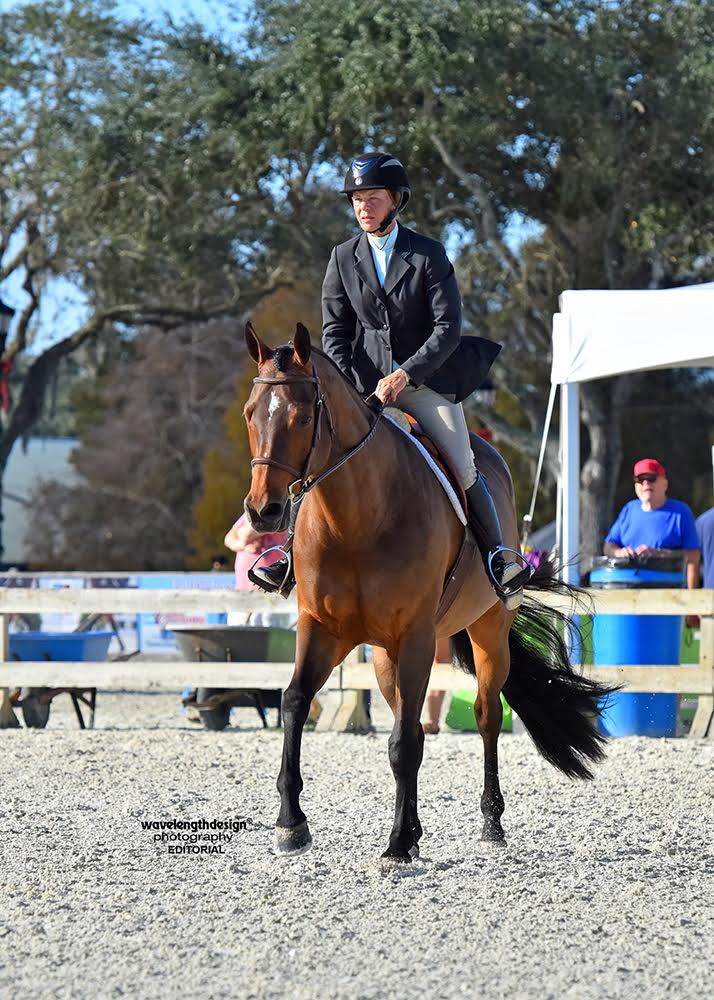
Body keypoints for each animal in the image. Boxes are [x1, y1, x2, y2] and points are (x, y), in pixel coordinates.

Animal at [243, 321, 611, 861]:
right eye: (250, 413)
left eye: (304, 415)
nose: (262, 511)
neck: (355, 520)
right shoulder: (320, 627)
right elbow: (294, 703)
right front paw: (292, 823)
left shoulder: (415, 635)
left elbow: (404, 742)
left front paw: (396, 844)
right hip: (383, 655)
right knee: (408, 718)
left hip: (486, 631)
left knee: (484, 715)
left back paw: (490, 822)